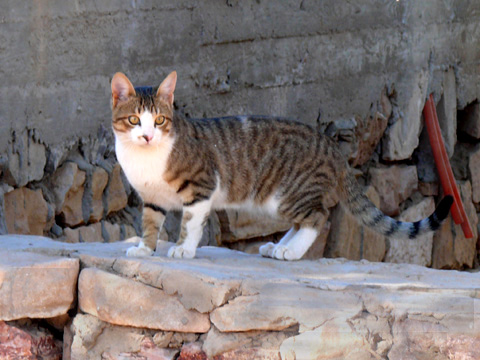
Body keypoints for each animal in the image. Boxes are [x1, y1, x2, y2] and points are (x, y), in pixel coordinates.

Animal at [109, 71, 454, 262]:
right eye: (134, 120)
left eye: (160, 120)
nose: (148, 135)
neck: (146, 160)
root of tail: (330, 145)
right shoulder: (151, 197)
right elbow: (150, 223)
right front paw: (144, 249)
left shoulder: (202, 187)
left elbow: (190, 223)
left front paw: (182, 249)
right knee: (302, 221)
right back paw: (278, 247)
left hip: (288, 194)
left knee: (318, 217)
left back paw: (291, 251)